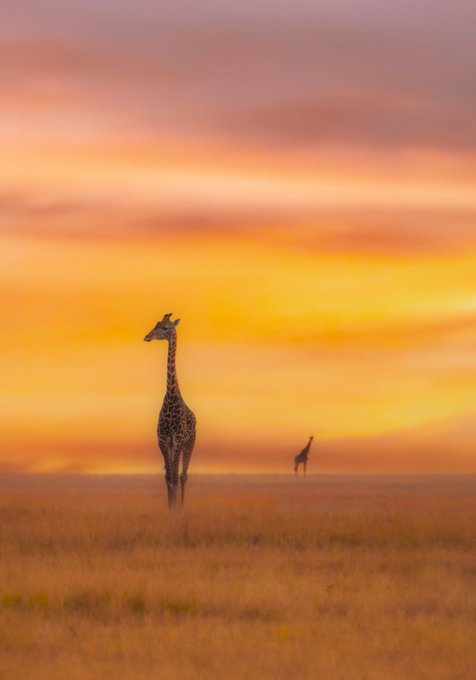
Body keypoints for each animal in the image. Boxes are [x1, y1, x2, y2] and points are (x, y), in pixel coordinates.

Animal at [144, 313, 196, 511]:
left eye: (166, 328)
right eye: (156, 324)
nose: (147, 336)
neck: (171, 397)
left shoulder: (179, 437)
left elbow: (174, 476)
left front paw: (176, 509)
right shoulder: (163, 438)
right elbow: (168, 476)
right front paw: (169, 508)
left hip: (190, 442)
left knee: (183, 475)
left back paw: (182, 506)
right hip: (174, 444)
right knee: (175, 473)